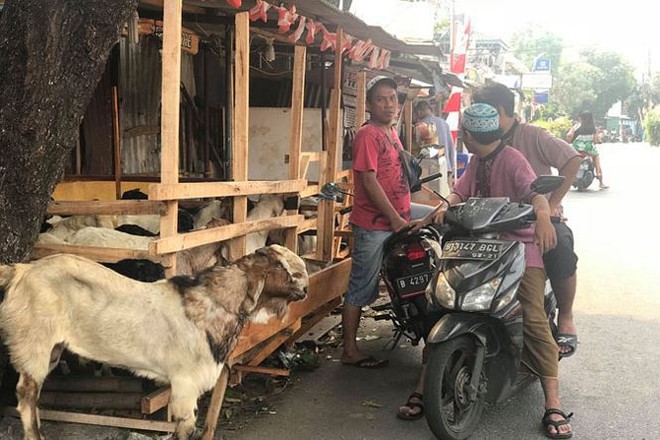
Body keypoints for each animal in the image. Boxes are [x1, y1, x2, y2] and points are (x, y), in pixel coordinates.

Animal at [0, 244, 310, 440]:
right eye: (285, 269)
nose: (305, 290)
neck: (212, 302)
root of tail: (21, 271)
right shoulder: (185, 383)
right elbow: (186, 429)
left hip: (51, 349)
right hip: (34, 344)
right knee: (26, 396)